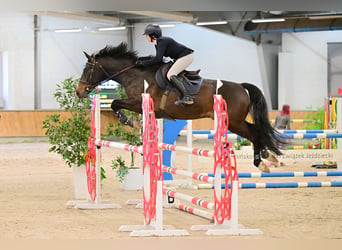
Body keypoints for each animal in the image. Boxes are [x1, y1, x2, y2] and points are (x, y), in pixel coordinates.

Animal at [77, 42, 286, 172]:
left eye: (87, 70)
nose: (79, 92)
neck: (135, 75)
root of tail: (241, 87)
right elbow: (116, 103)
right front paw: (127, 120)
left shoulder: (138, 102)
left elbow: (115, 102)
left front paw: (125, 119)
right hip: (236, 121)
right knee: (256, 130)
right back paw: (269, 157)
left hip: (234, 122)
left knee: (254, 132)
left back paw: (261, 162)